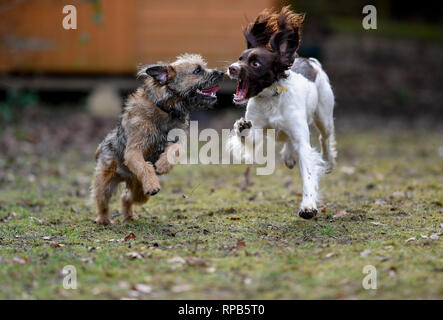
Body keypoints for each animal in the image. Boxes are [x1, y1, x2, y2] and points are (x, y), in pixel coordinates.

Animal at [93, 53, 225, 224]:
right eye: (197, 70)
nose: (222, 73)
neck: (165, 110)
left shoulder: (178, 140)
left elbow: (174, 150)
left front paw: (163, 165)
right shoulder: (134, 150)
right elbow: (144, 166)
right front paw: (153, 180)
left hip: (140, 192)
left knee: (126, 197)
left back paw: (129, 216)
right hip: (106, 183)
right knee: (102, 200)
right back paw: (102, 219)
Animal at [229, 6, 336, 220]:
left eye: (255, 63)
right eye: (240, 58)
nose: (231, 68)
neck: (271, 96)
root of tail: (309, 60)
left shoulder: (303, 141)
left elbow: (308, 172)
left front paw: (308, 206)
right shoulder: (257, 126)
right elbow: (249, 134)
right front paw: (241, 127)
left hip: (324, 116)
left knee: (325, 138)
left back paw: (328, 162)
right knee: (288, 139)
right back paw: (288, 156)